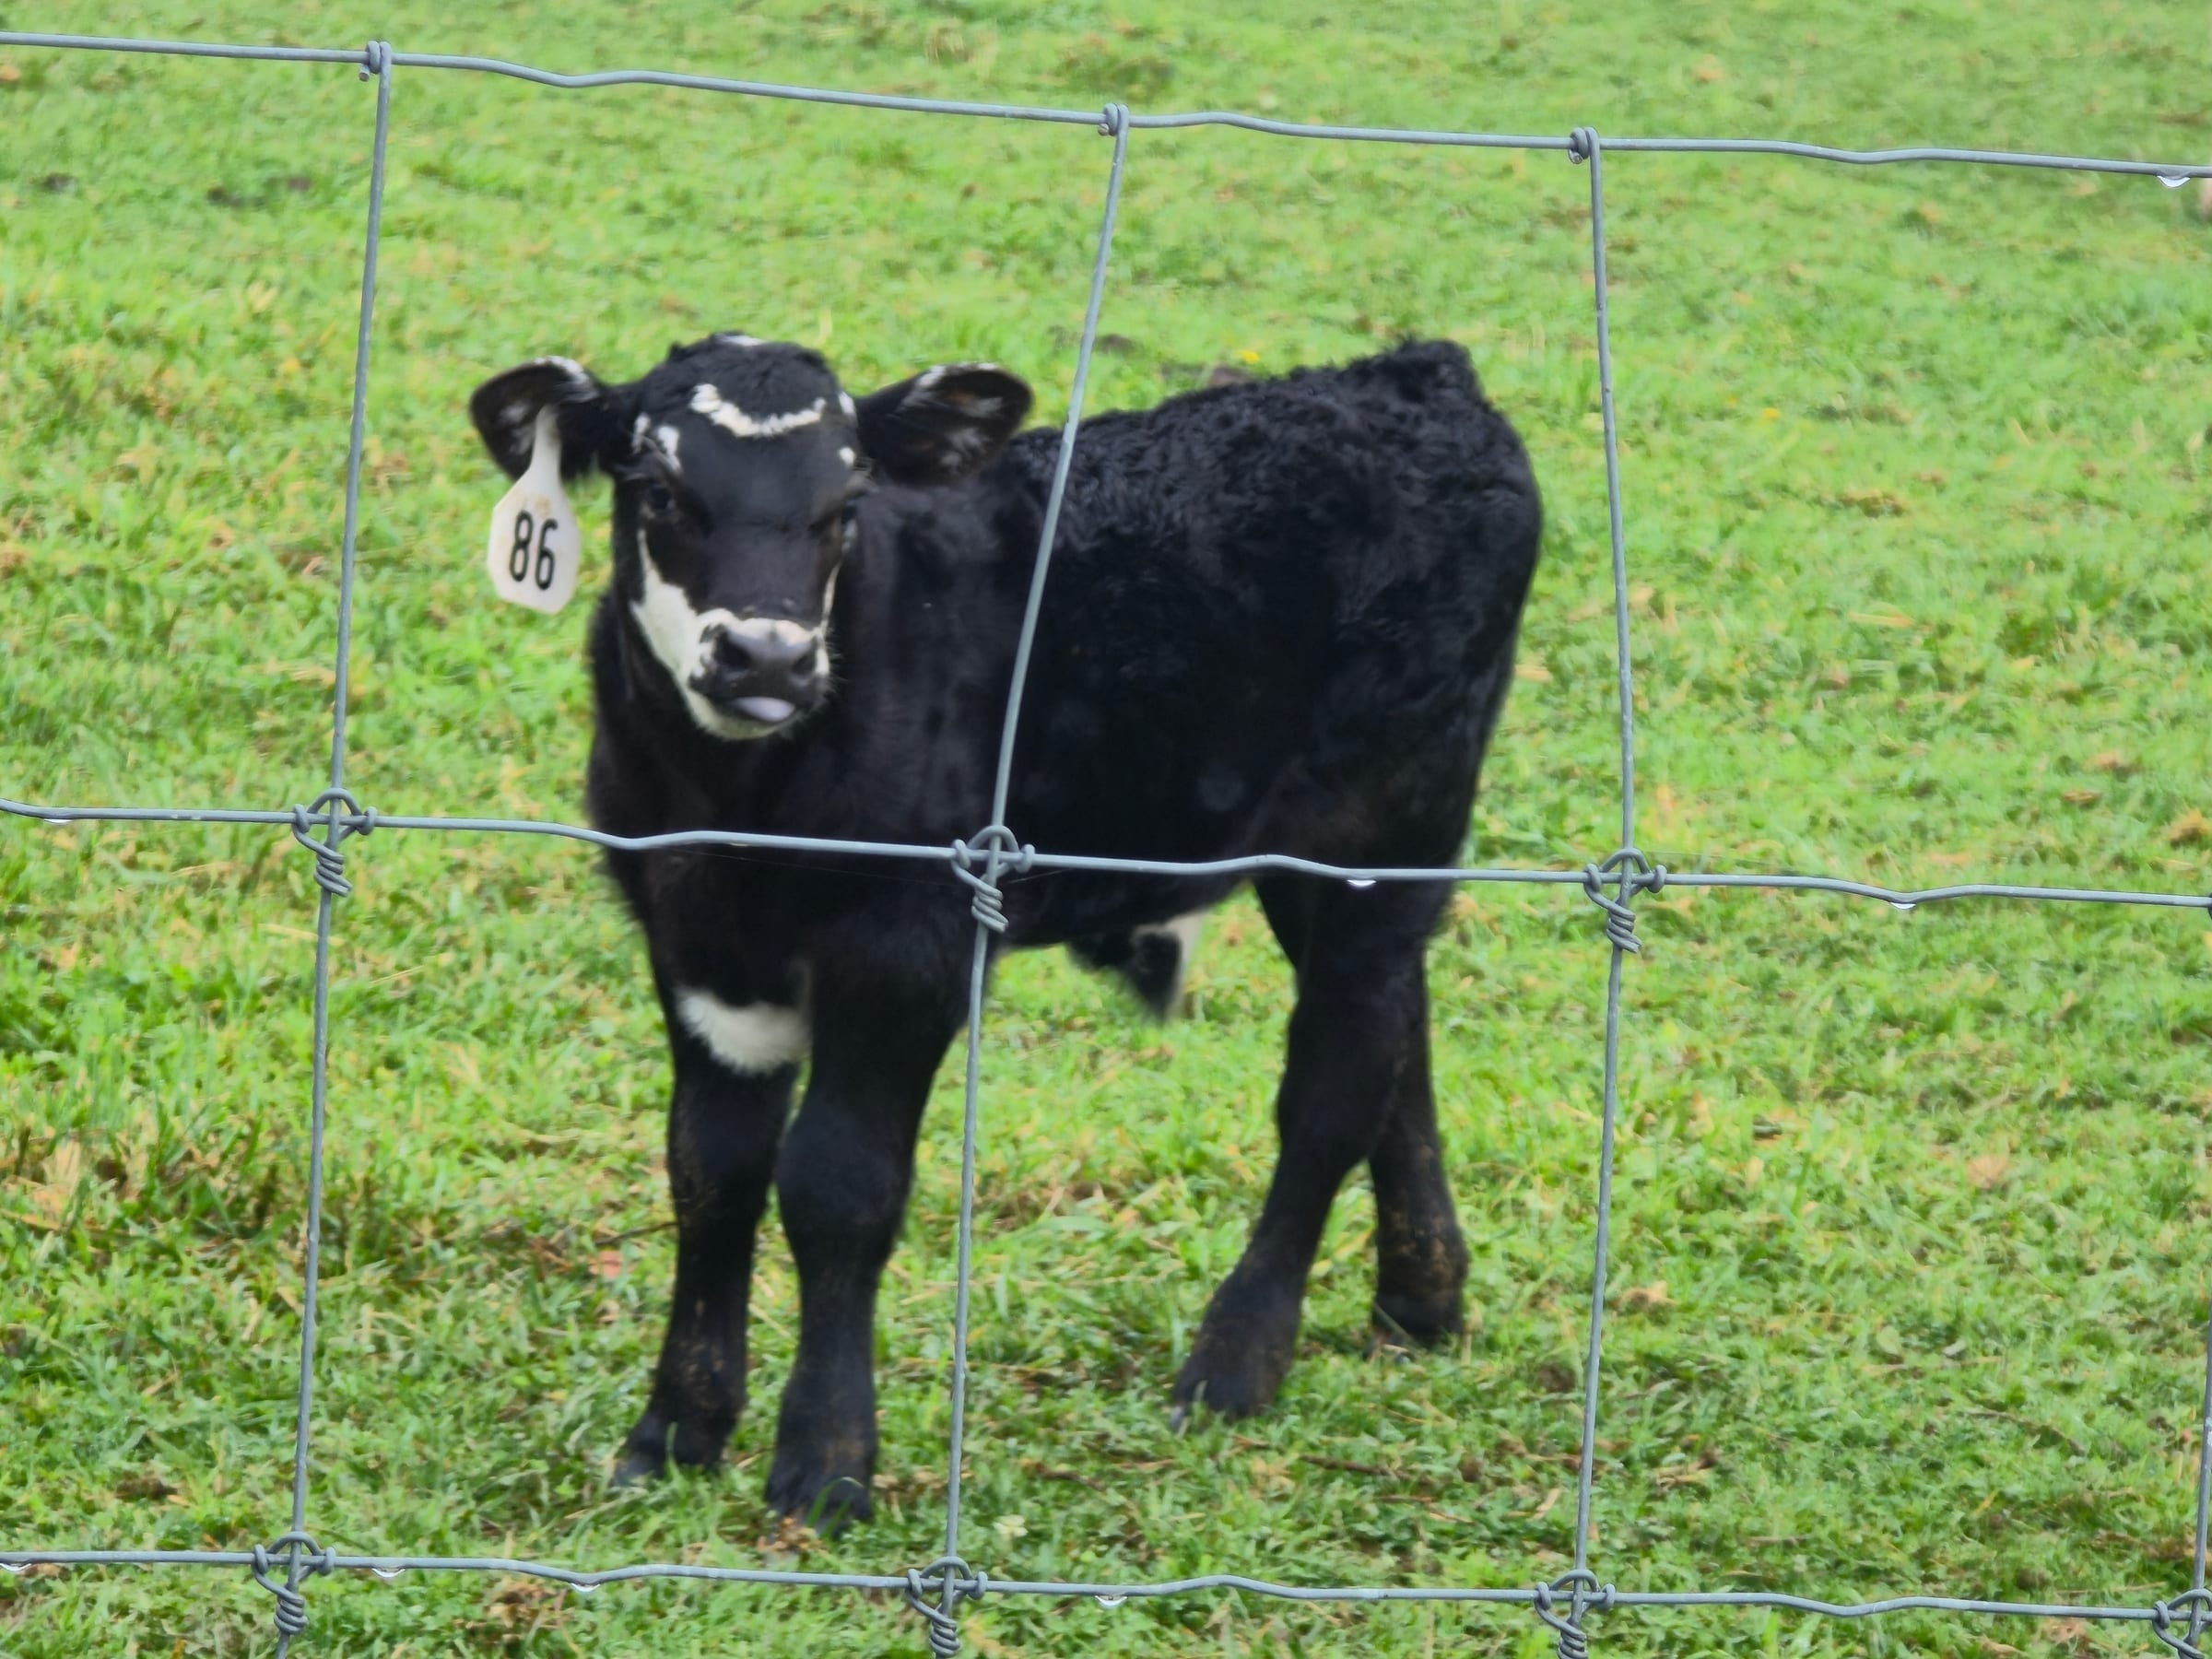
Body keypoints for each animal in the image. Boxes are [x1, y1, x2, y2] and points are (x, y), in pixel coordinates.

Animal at [468, 333, 1542, 1528]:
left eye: (848, 500)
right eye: (657, 486)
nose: (769, 658)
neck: (733, 811)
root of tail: (1410, 373)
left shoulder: (908, 943)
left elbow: (837, 1183)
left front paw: (827, 1463)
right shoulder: (689, 941)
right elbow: (711, 1171)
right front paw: (674, 1431)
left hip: (1383, 816)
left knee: (1333, 1082)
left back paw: (1236, 1360)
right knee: (1397, 1024)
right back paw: (1420, 1296)